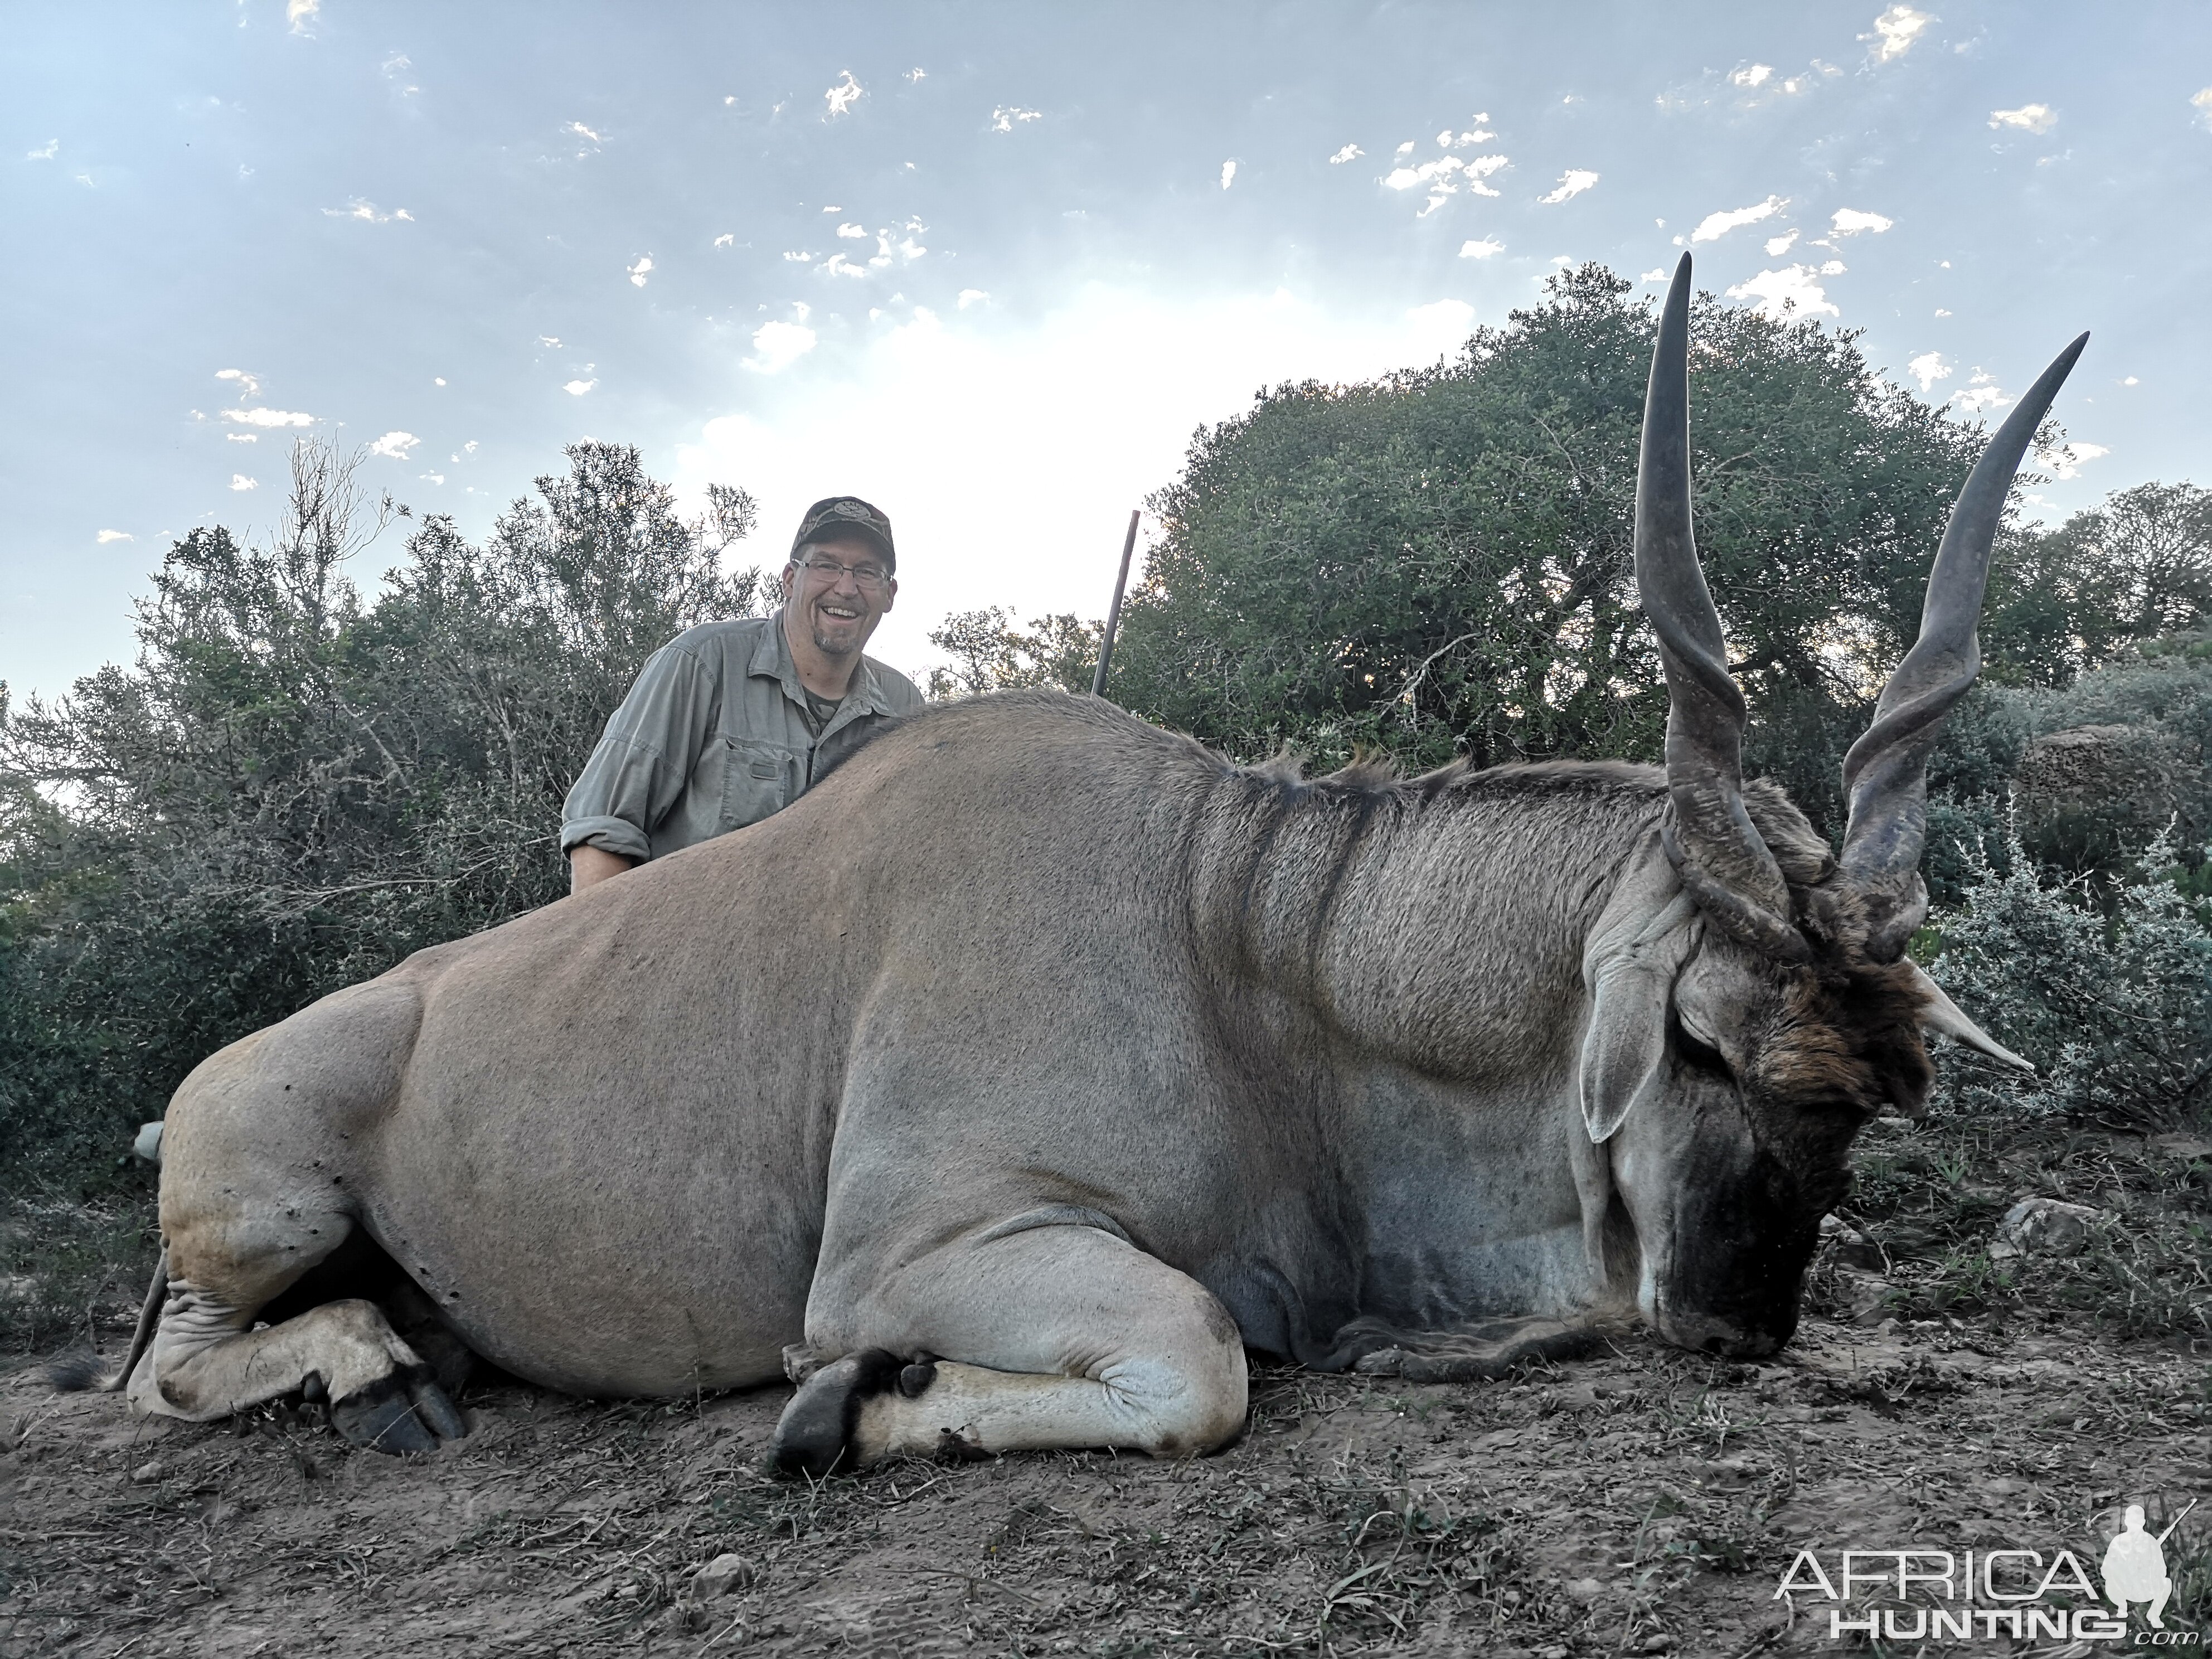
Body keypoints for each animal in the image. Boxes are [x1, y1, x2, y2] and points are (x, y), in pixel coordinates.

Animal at [99, 253, 2070, 1477]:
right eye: (1704, 1041)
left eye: (1874, 1098)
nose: (1740, 1328)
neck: (1235, 935)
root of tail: (200, 1088)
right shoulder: (912, 1259)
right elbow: (1199, 1365)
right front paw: (842, 1414)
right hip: (260, 1211)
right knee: (166, 1363)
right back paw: (382, 1374)